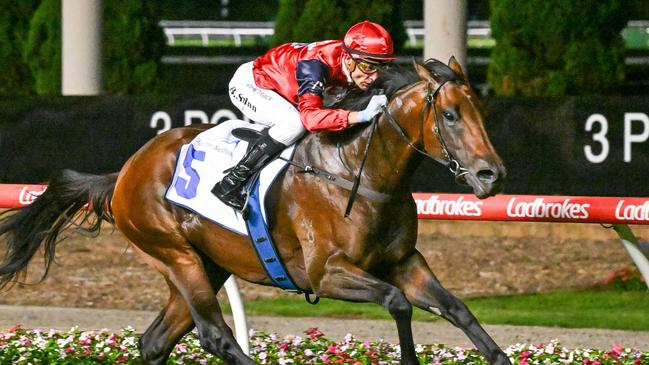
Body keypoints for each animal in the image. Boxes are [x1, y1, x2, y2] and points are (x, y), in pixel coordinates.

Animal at [0, 58, 506, 362]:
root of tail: (125, 171)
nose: (491, 175)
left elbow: (456, 308)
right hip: (174, 254)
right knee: (215, 335)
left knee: (154, 341)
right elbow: (397, 303)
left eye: (482, 112)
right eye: (450, 116)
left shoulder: (405, 262)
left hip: (208, 264)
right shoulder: (327, 273)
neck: (356, 173)